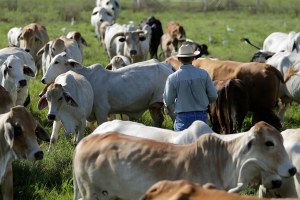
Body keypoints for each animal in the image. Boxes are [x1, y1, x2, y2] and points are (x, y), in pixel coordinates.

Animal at [41, 52, 175, 126]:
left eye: (56, 62)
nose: (43, 79)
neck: (87, 77)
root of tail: (166, 66)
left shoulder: (102, 110)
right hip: (154, 106)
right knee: (158, 119)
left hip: (171, 106)